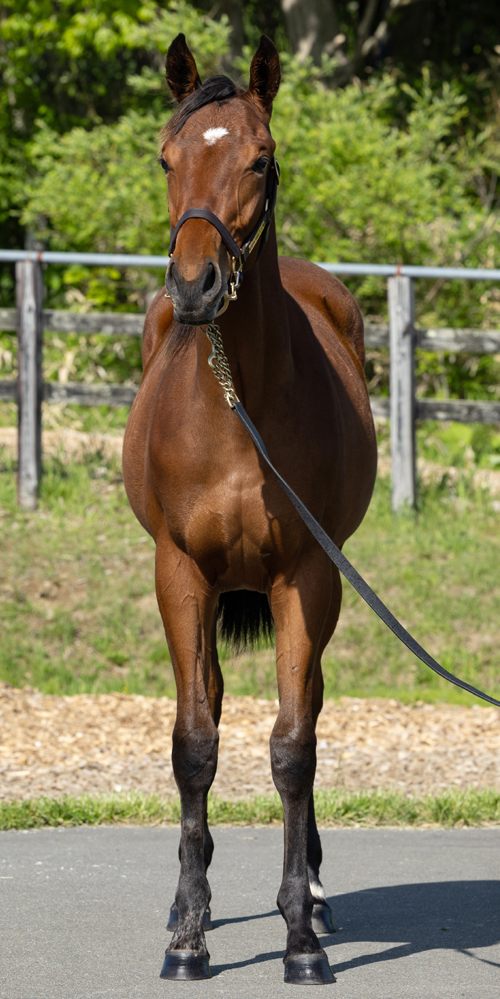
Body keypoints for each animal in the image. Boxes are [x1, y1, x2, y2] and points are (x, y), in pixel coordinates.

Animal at [122, 32, 377, 985]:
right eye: (166, 157)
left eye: (259, 159)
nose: (195, 285)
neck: (237, 404)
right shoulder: (181, 571)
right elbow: (194, 741)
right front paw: (189, 937)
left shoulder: (308, 576)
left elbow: (294, 744)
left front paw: (300, 937)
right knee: (214, 707)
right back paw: (183, 897)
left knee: (305, 706)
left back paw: (317, 895)